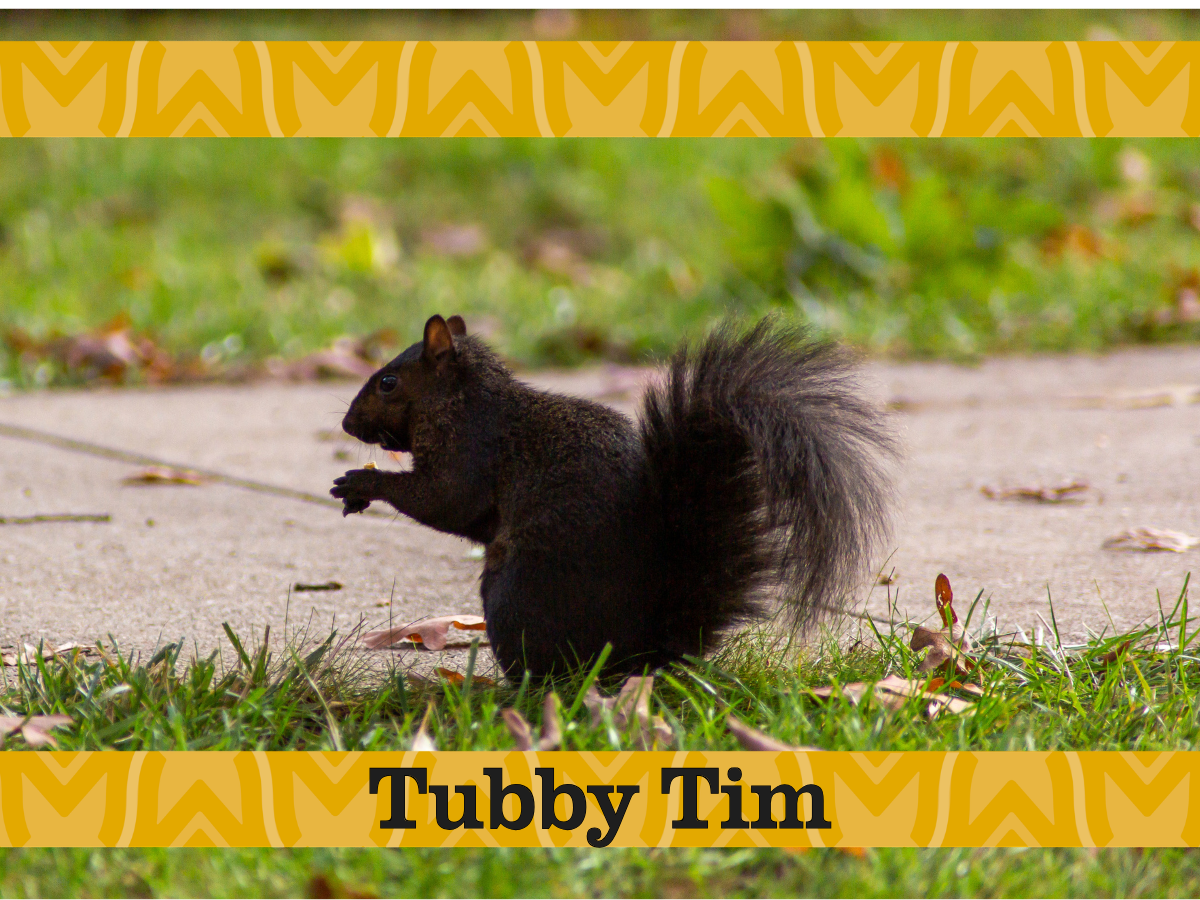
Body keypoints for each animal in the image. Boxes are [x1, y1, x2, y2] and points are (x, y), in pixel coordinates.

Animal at [332, 314, 898, 680]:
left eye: (387, 382)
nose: (346, 424)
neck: (463, 400)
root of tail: (640, 654)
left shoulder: (471, 451)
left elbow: (445, 500)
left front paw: (361, 483)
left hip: (514, 599)